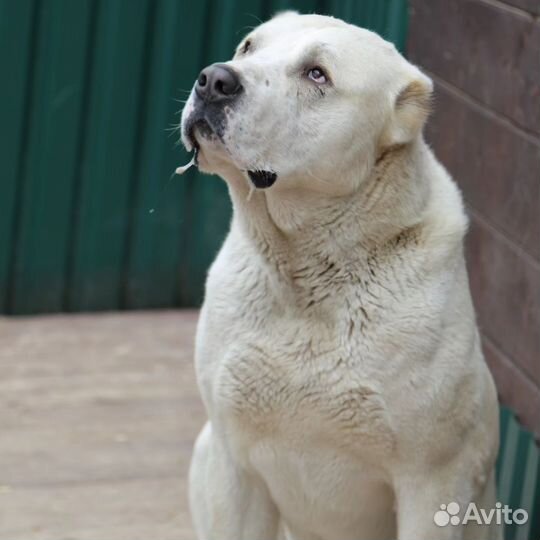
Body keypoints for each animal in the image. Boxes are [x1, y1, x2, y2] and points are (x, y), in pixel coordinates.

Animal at [180, 12, 502, 540]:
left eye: (317, 75)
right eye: (248, 47)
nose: (214, 80)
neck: (308, 273)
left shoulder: (431, 485)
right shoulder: (232, 465)